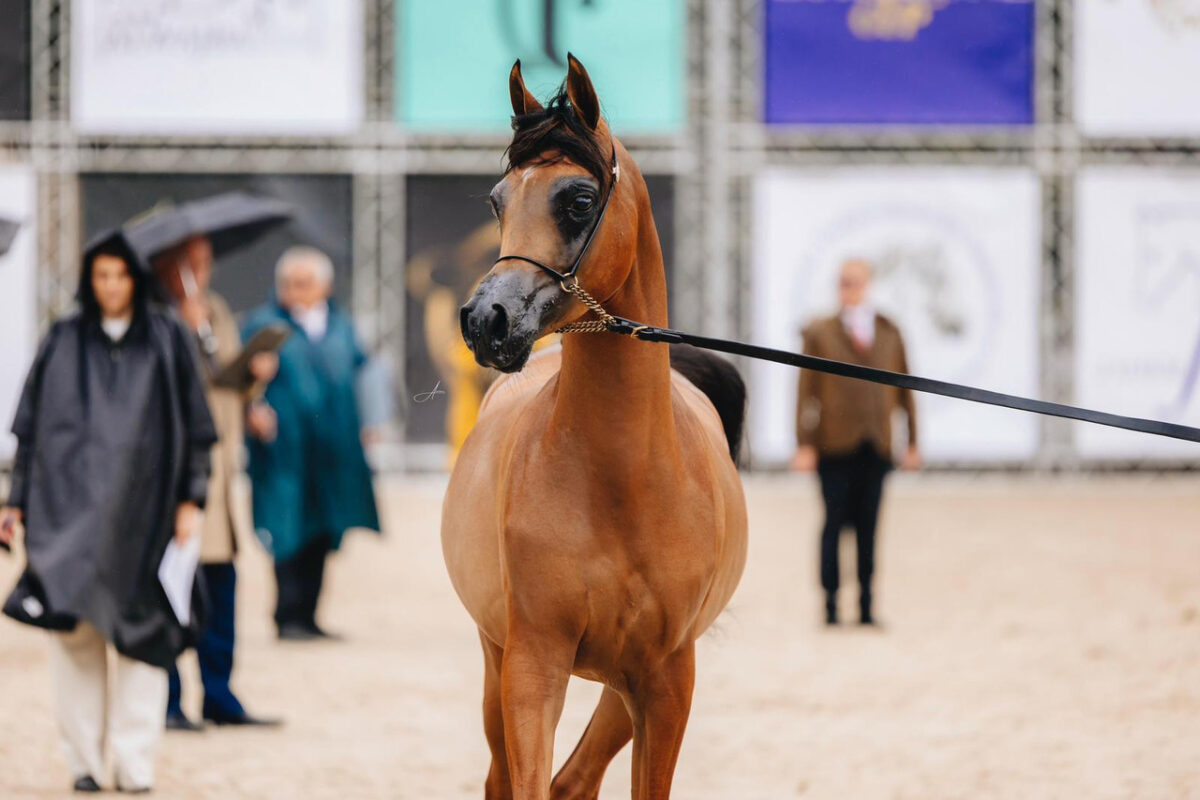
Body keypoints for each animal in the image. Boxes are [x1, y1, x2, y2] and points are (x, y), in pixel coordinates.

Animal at [442, 55, 748, 799]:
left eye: (578, 200)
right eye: (497, 200)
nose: (485, 321)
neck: (622, 482)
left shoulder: (667, 681)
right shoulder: (533, 667)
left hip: (622, 687)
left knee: (577, 779)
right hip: (497, 661)